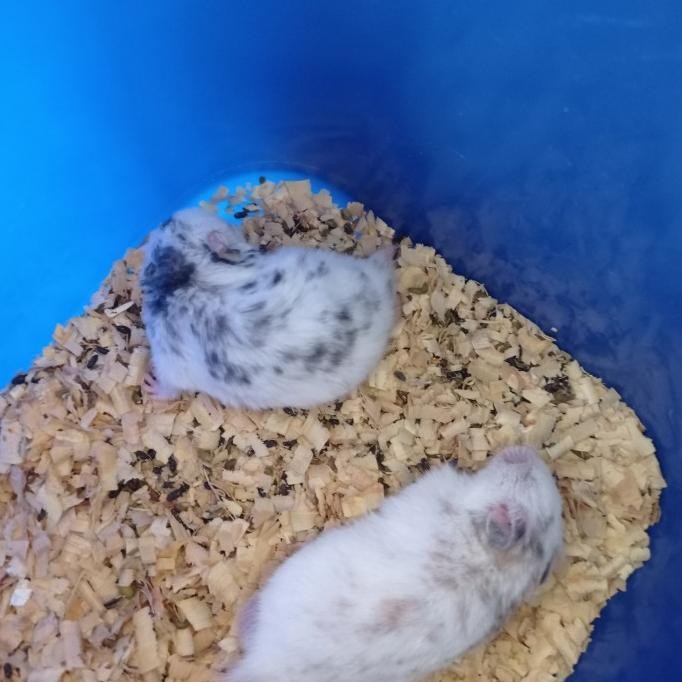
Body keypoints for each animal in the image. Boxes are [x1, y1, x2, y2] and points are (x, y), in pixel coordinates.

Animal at [140, 207, 397, 409]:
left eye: (167, 225)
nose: (167, 217)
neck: (185, 278)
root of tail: (379, 286)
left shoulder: (168, 363)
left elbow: (168, 388)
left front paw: (150, 386)